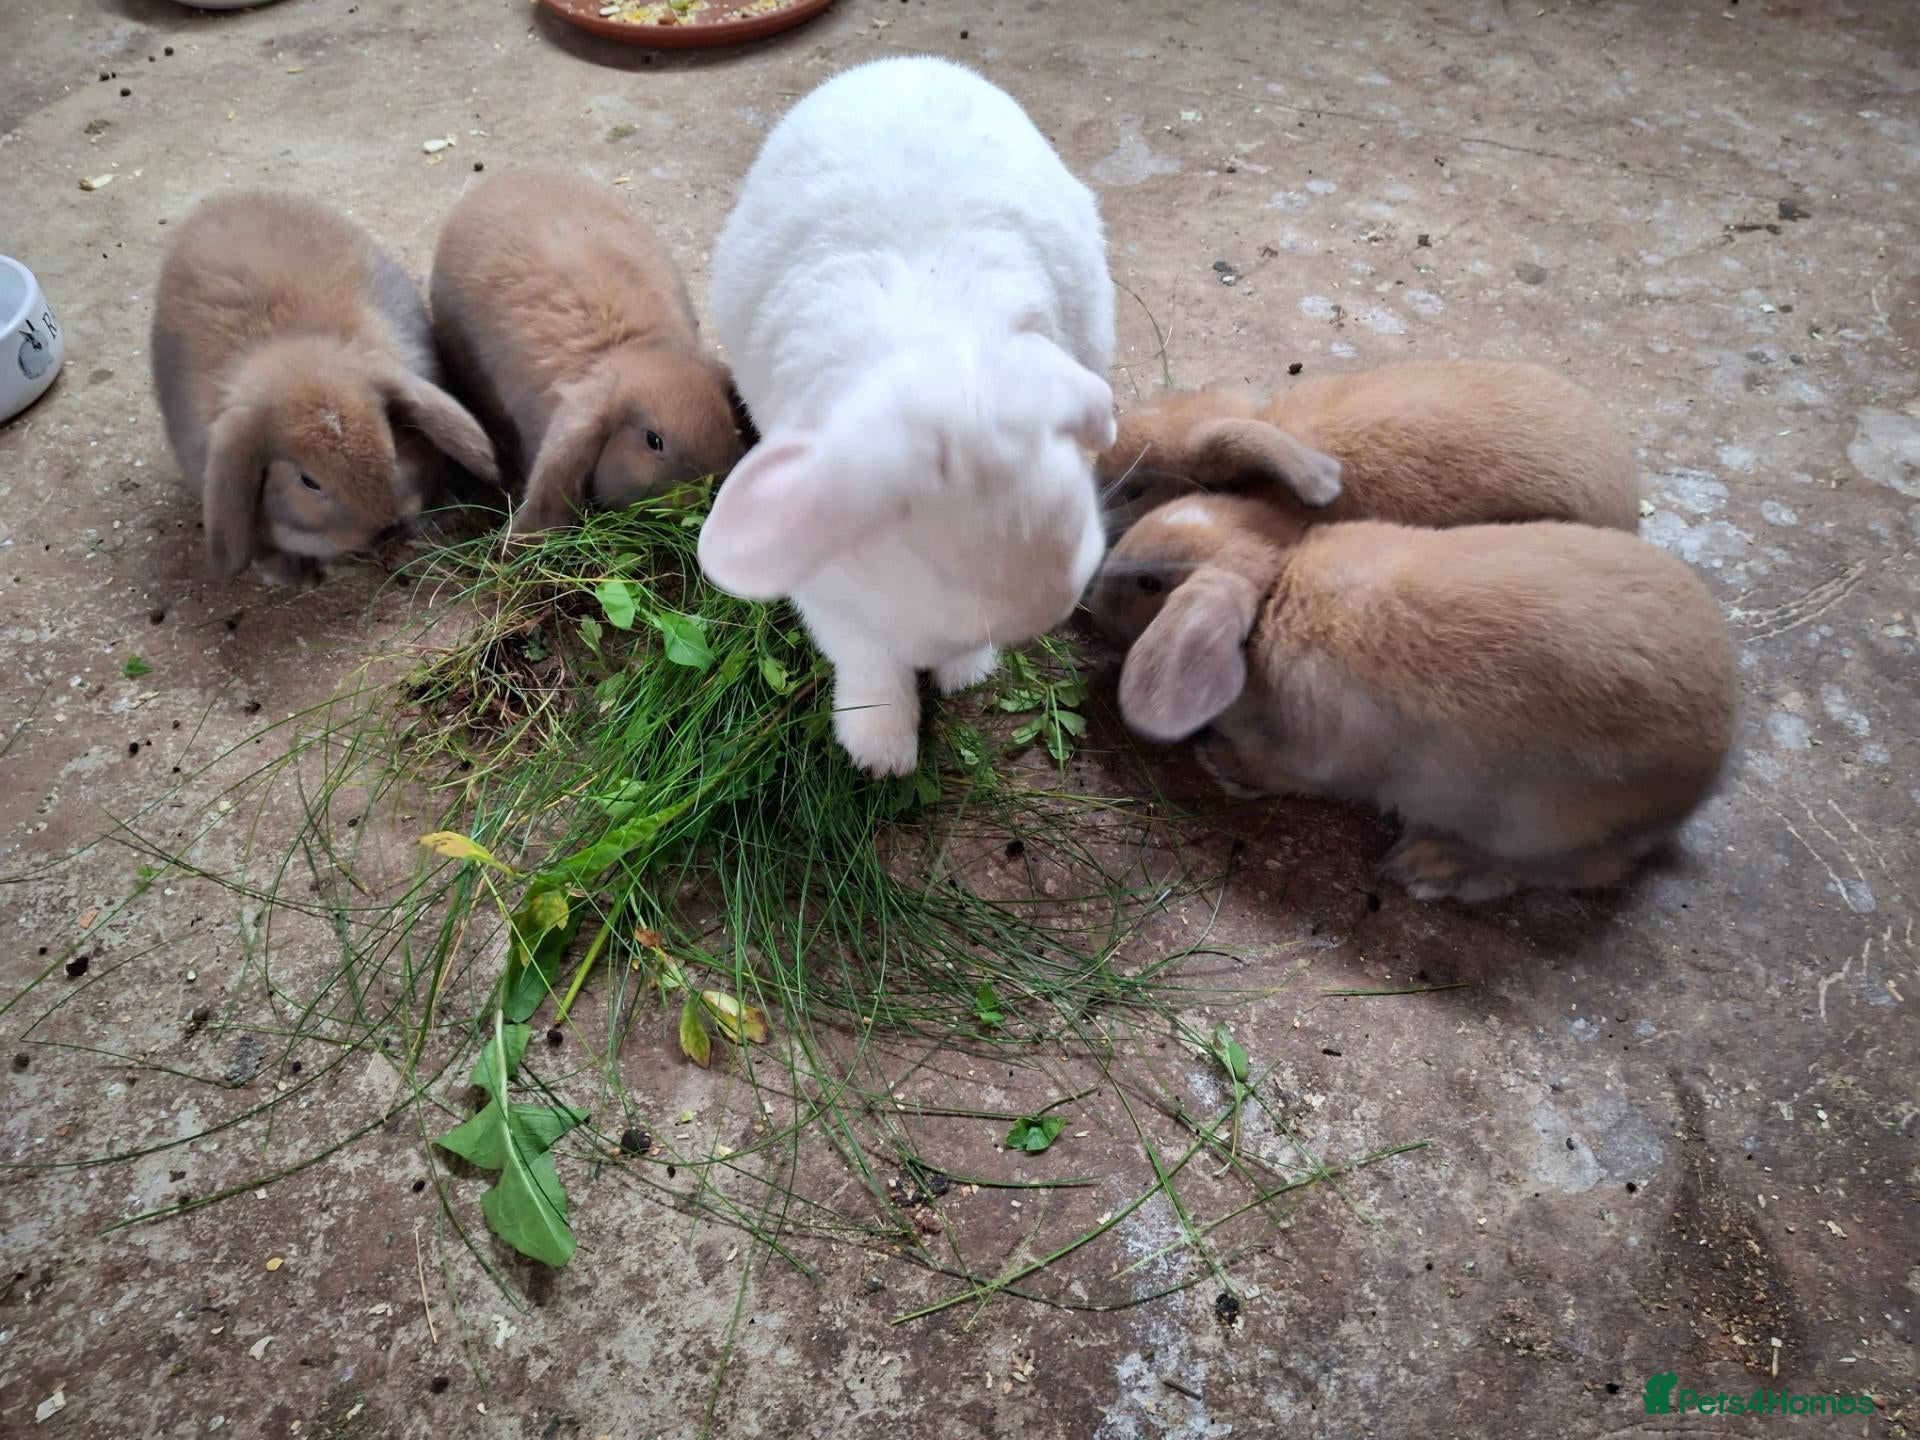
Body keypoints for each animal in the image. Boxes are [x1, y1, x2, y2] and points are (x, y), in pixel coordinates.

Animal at [151, 191, 497, 583]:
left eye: (393, 444)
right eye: (308, 481)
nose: (386, 530)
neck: (293, 356)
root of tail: (225, 203)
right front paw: (289, 574)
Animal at [697, 57, 1118, 778]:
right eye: (938, 567)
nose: (1049, 610)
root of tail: (908, 64)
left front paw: (965, 674)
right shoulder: (833, 600)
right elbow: (870, 667)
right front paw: (880, 753)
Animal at [1092, 495, 1734, 902]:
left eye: (1149, 583)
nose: (1093, 596)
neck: (1276, 588)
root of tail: (1710, 767)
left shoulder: (1309, 757)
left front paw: (1221, 764)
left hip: (1543, 824)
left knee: (1562, 871)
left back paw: (1433, 867)